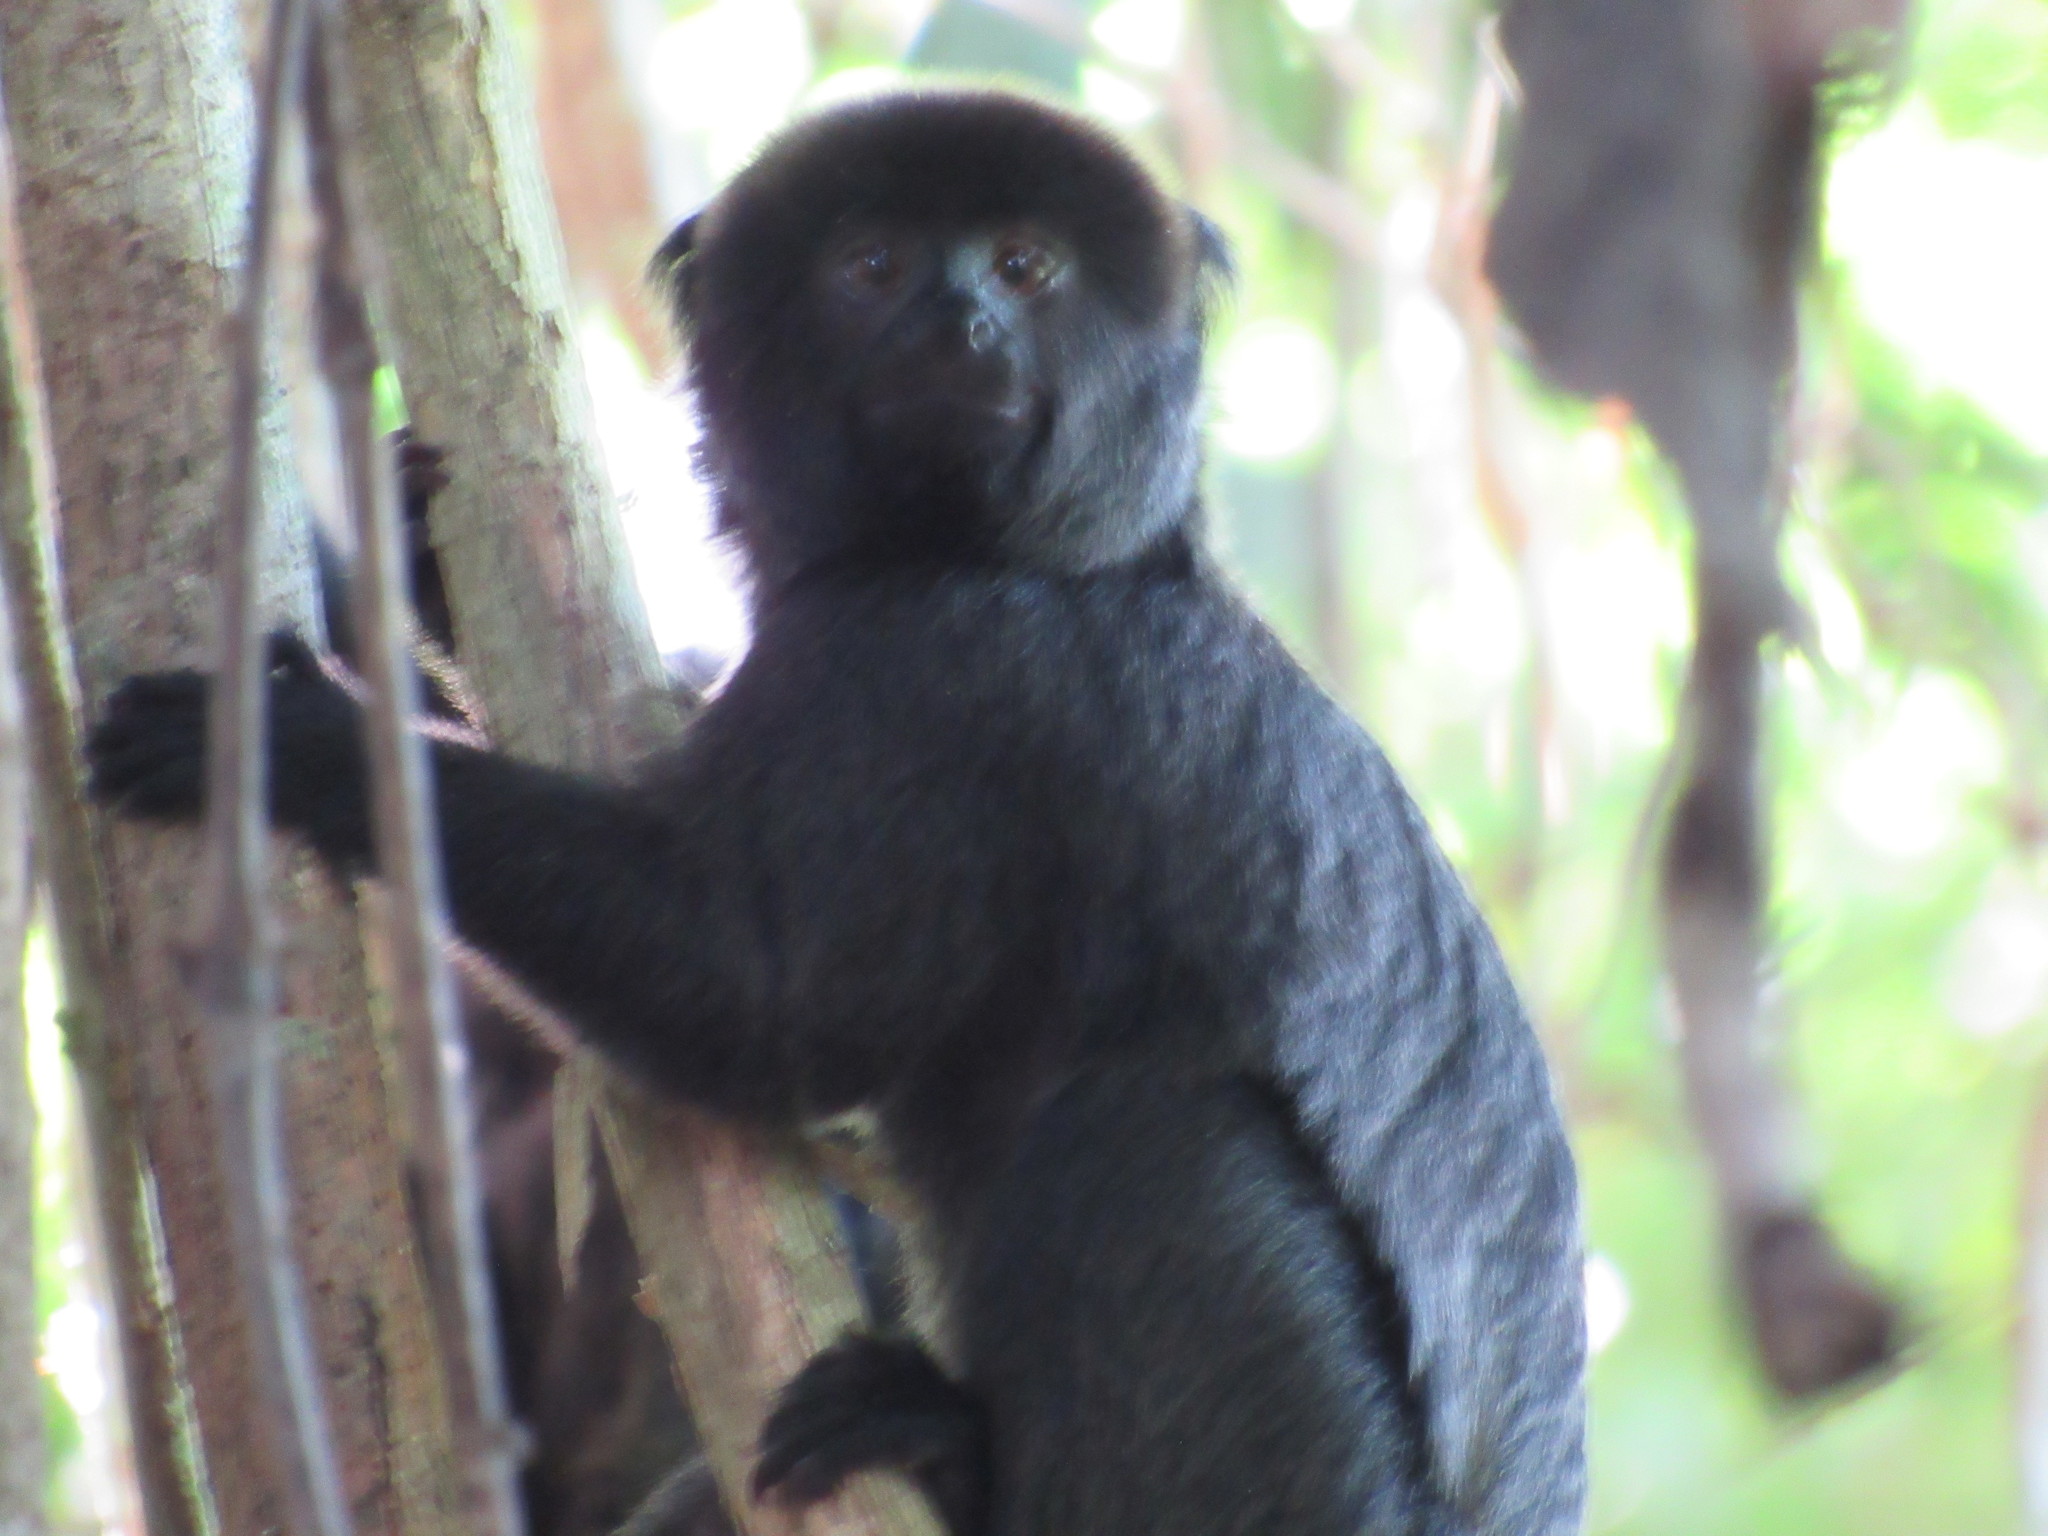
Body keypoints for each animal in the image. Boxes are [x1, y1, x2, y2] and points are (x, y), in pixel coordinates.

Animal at [92, 93, 1581, 1536]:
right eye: (873, 268)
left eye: (1025, 268)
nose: (961, 324)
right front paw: (405, 564)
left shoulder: (949, 666)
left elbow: (753, 1001)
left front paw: (290, 745)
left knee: (1157, 1138)